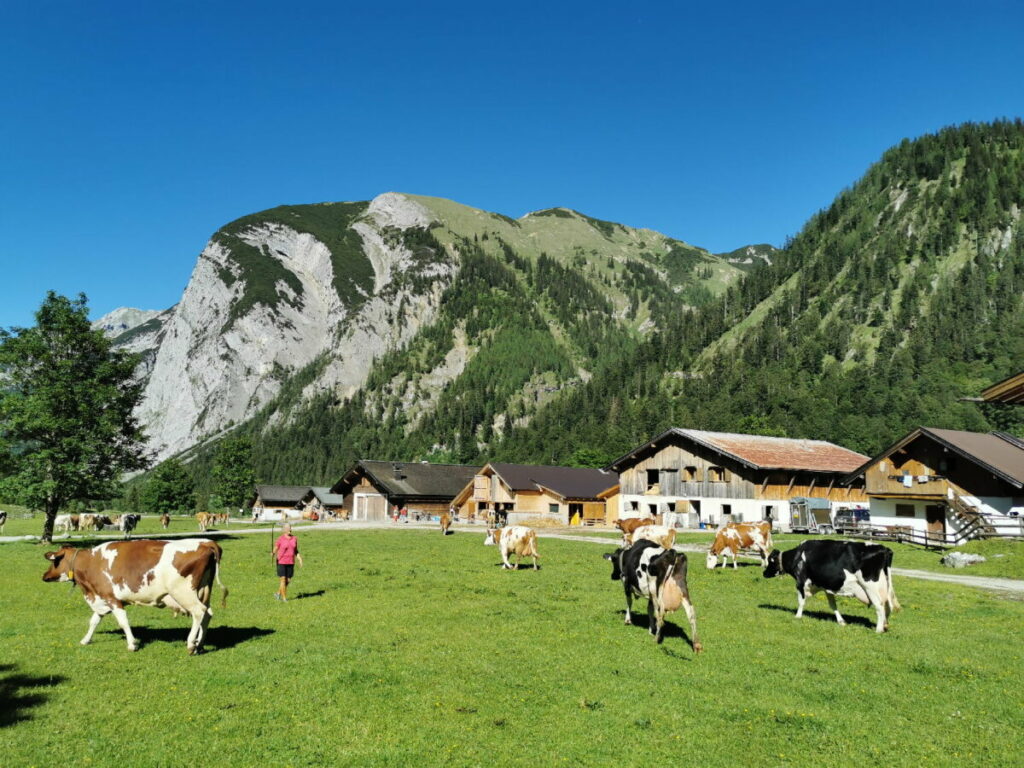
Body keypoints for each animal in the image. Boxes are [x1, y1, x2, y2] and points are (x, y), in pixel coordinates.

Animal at [43, 540, 226, 655]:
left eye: (55, 562)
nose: (44, 576)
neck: (91, 562)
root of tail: (206, 543)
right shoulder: (102, 599)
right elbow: (94, 621)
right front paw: (85, 640)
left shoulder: (112, 599)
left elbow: (123, 621)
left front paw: (132, 644)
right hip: (203, 592)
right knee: (207, 614)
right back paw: (200, 644)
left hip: (184, 593)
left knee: (199, 612)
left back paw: (190, 644)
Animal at [765, 536, 901, 634]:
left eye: (769, 561)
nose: (764, 573)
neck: (797, 556)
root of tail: (884, 548)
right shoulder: (827, 586)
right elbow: (833, 605)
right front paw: (841, 621)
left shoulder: (800, 582)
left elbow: (801, 602)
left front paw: (798, 616)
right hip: (884, 586)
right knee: (888, 606)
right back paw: (885, 626)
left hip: (870, 586)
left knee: (879, 606)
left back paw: (878, 629)